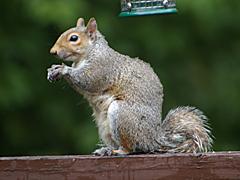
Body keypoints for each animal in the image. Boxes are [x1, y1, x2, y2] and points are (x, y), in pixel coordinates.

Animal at [47, 17, 212, 155]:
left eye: (74, 38)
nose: (53, 52)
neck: (91, 52)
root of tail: (152, 139)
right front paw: (54, 71)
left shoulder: (102, 68)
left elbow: (88, 80)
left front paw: (63, 69)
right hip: (103, 126)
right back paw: (106, 150)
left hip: (122, 115)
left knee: (132, 148)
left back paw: (119, 151)